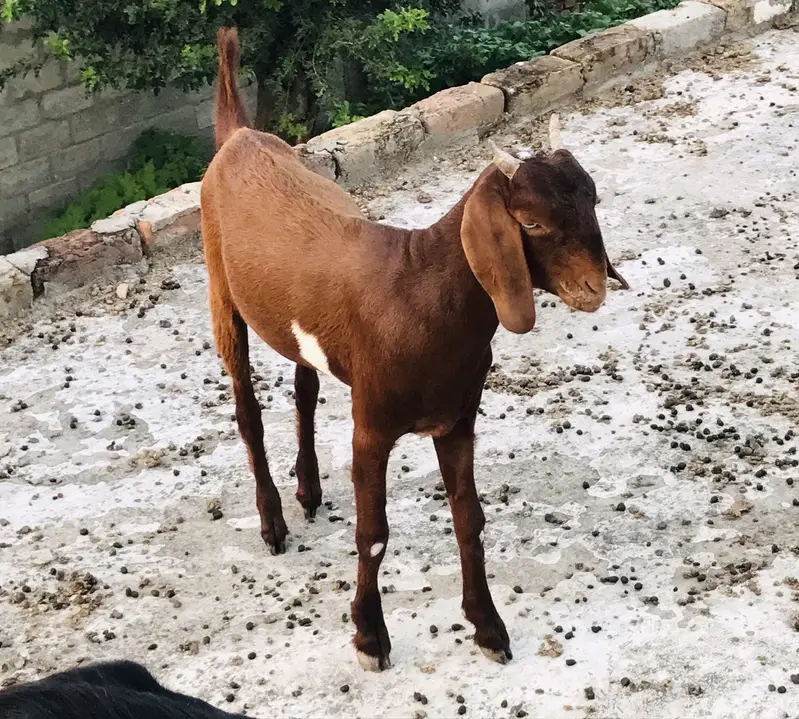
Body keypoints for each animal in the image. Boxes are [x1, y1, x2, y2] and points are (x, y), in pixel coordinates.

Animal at [201, 27, 629, 672]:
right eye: (529, 222)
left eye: (594, 200)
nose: (594, 287)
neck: (418, 288)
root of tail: (239, 135)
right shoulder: (372, 425)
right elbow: (373, 533)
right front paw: (369, 638)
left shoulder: (457, 418)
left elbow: (469, 518)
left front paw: (488, 628)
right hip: (220, 287)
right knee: (246, 408)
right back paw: (273, 522)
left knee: (304, 387)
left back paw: (308, 490)